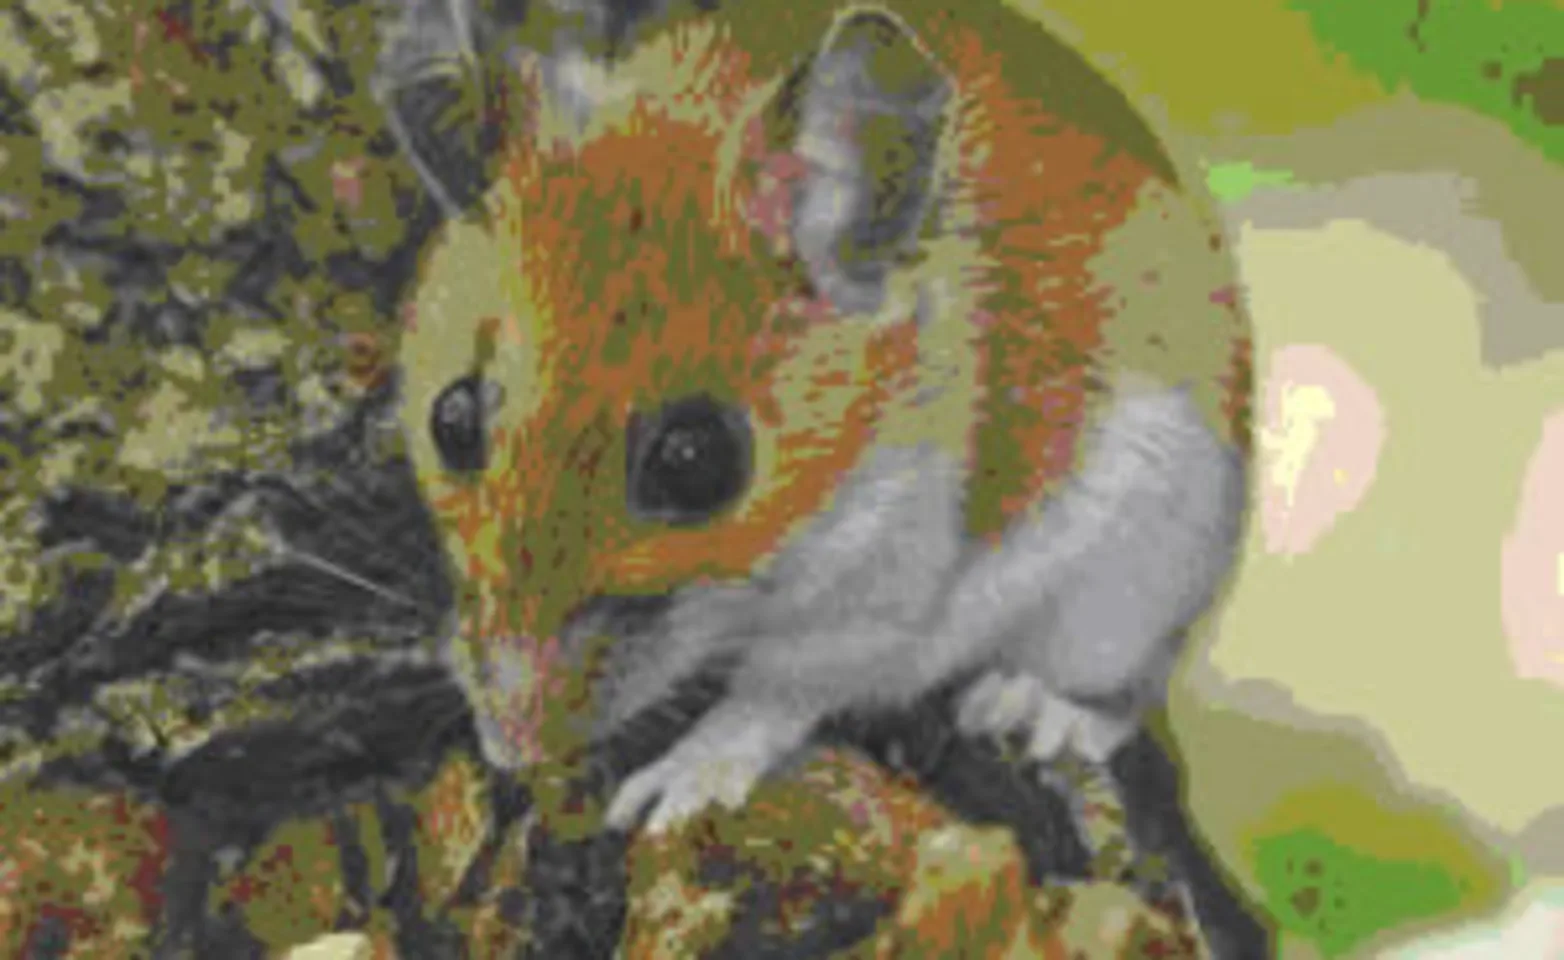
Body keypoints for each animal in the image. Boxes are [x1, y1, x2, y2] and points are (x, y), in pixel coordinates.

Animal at [385, 0, 1252, 836]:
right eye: (450, 421)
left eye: (694, 462)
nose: (510, 746)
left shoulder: (874, 609)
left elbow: (768, 700)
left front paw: (671, 787)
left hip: (1134, 583)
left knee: (1128, 696)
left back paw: (1029, 708)